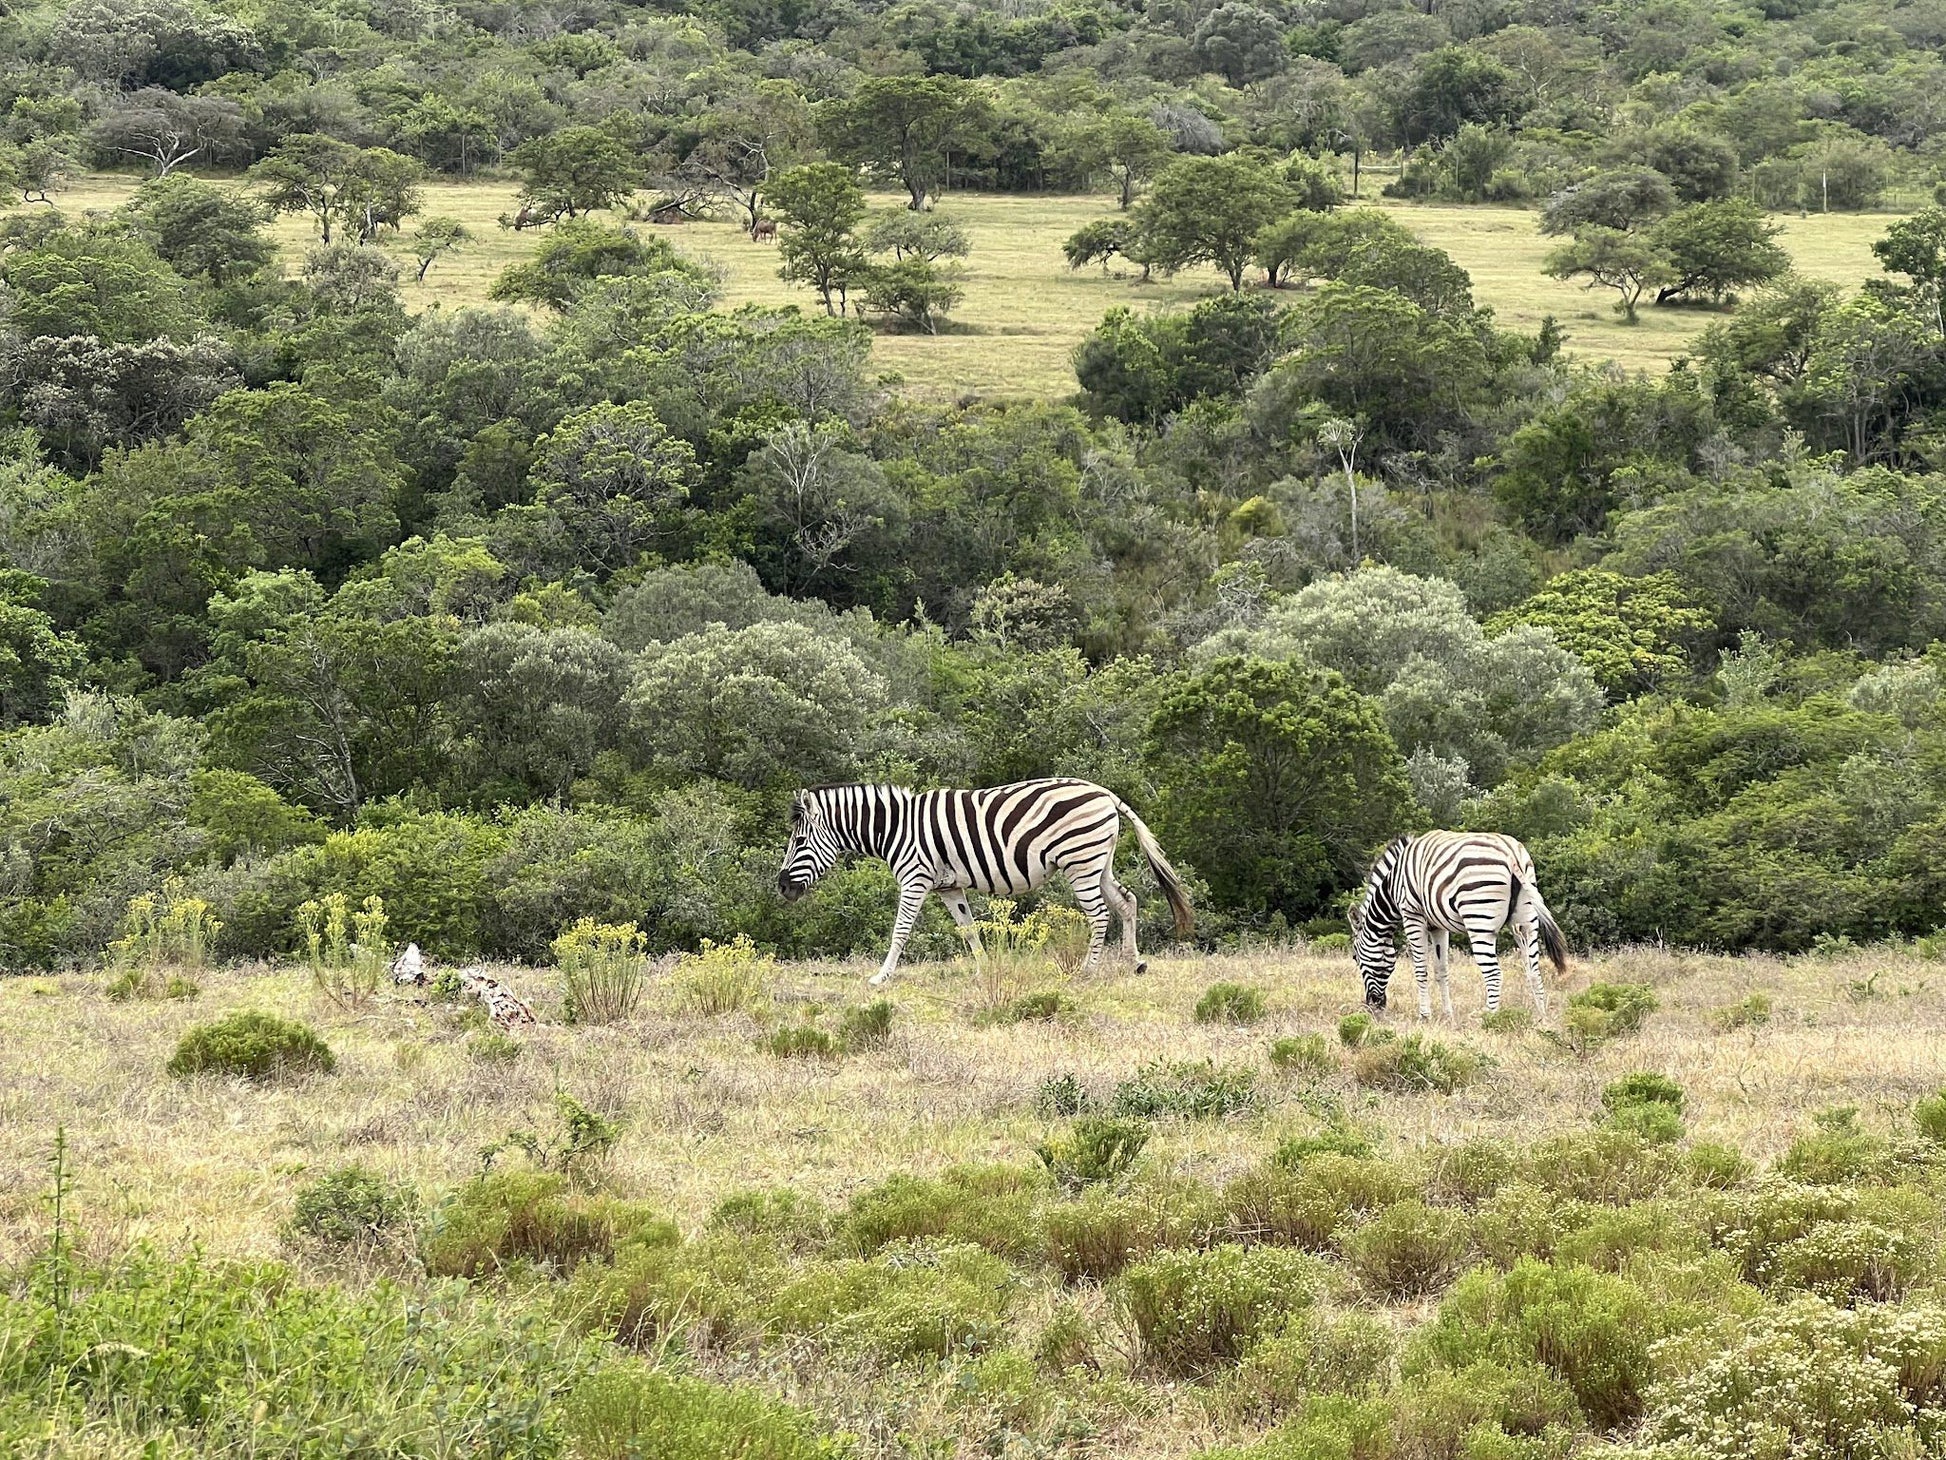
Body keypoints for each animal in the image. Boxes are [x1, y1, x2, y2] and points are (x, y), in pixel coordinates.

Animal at [770, 782, 1190, 988]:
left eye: (800, 842)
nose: (782, 888)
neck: (895, 828)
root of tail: (1106, 793)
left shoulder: (915, 878)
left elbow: (900, 931)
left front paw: (880, 977)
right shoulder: (948, 886)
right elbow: (968, 929)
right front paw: (985, 970)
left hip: (1080, 861)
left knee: (1100, 914)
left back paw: (1086, 973)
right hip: (1097, 862)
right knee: (1127, 901)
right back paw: (1134, 962)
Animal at [1346, 829, 1572, 1020]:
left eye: (1355, 957)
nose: (1374, 1006)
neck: (1392, 888)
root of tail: (1511, 853)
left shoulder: (1412, 915)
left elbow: (1420, 969)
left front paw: (1424, 1016)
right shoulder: (1437, 925)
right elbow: (1441, 970)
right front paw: (1448, 1015)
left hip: (1479, 920)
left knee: (1494, 974)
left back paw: (1489, 1019)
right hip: (1526, 922)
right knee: (1533, 970)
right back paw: (1542, 1018)